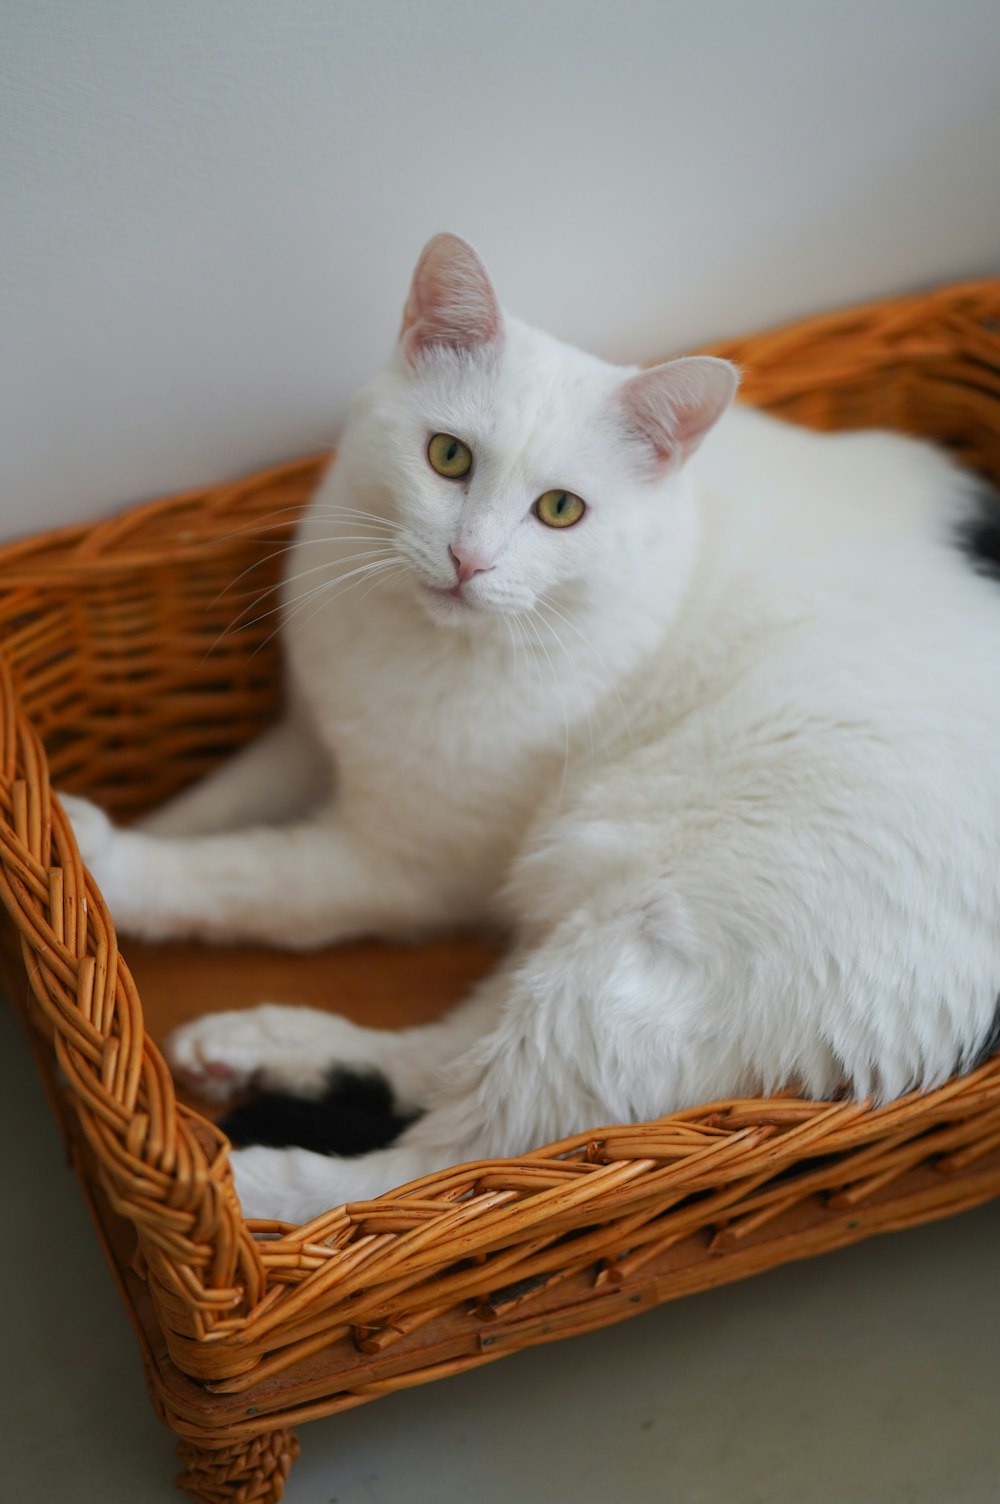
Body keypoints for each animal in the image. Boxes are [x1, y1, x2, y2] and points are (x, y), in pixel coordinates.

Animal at [62, 231, 998, 1221]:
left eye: (561, 510)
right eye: (447, 456)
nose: (468, 558)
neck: (410, 638)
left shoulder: (401, 867)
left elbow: (244, 877)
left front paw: (109, 862)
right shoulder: (305, 738)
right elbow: (209, 805)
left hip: (635, 951)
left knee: (455, 1167)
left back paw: (242, 1189)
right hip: (583, 925)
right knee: (445, 1059)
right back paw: (261, 1045)